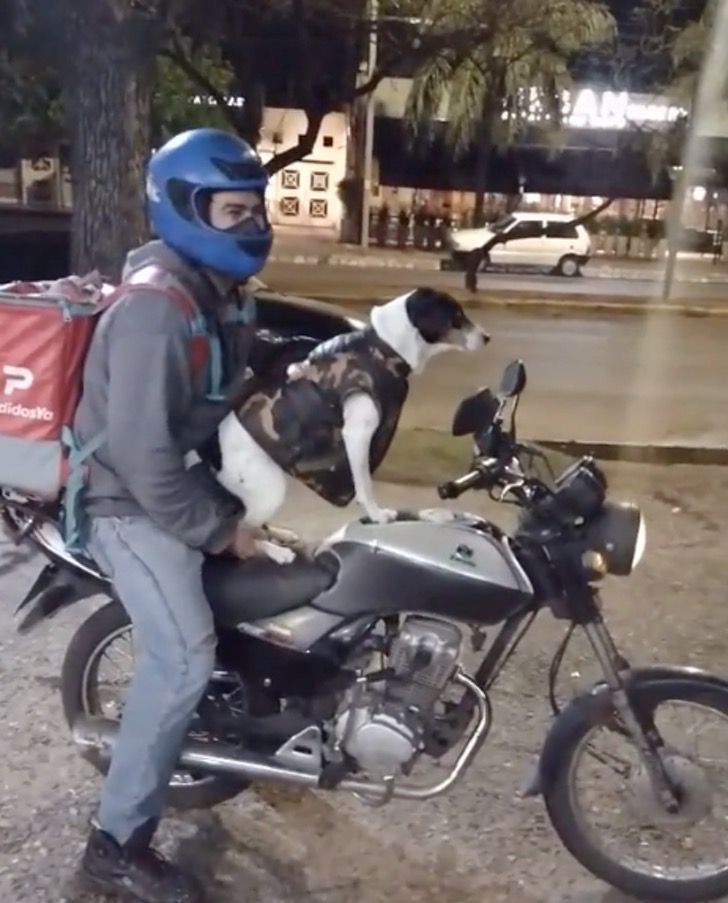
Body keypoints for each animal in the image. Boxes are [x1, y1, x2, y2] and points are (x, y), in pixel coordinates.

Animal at [216, 290, 490, 560]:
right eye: (456, 317)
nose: (487, 338)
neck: (386, 345)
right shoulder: (358, 433)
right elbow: (365, 484)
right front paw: (377, 515)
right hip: (269, 491)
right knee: (235, 537)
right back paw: (275, 551)